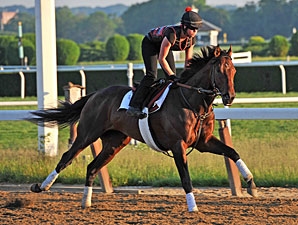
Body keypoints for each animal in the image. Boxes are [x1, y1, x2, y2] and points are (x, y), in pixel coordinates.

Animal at [28, 45, 258, 211]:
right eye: (219, 70)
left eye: (234, 70)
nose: (230, 97)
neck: (194, 103)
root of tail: (95, 94)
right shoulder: (178, 145)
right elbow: (185, 177)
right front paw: (193, 207)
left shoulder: (204, 142)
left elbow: (232, 152)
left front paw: (251, 185)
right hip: (87, 134)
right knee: (67, 157)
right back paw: (42, 186)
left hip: (115, 143)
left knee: (92, 167)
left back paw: (86, 202)